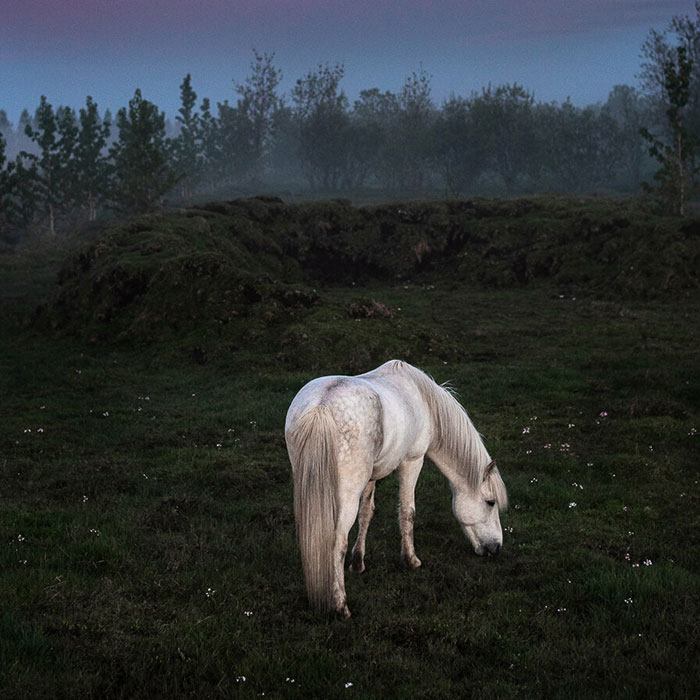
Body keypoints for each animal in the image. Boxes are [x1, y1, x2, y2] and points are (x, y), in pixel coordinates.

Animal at [284, 359, 508, 619]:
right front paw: (411, 560)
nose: (496, 548)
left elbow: (367, 513)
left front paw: (358, 563)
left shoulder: (372, 475)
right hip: (347, 495)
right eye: (490, 502)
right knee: (337, 543)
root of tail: (321, 407)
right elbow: (407, 512)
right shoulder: (412, 461)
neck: (423, 399)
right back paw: (341, 606)